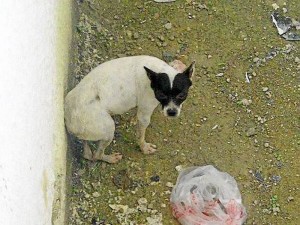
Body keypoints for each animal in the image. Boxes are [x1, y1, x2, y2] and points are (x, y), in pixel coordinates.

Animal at [64, 55, 195, 163]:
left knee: (87, 151)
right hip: (108, 128)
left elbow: (135, 113)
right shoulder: (145, 115)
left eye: (182, 95)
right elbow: (141, 135)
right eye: (161, 95)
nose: (172, 112)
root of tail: (68, 121)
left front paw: (132, 119)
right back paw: (110, 158)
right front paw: (144, 148)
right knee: (97, 155)